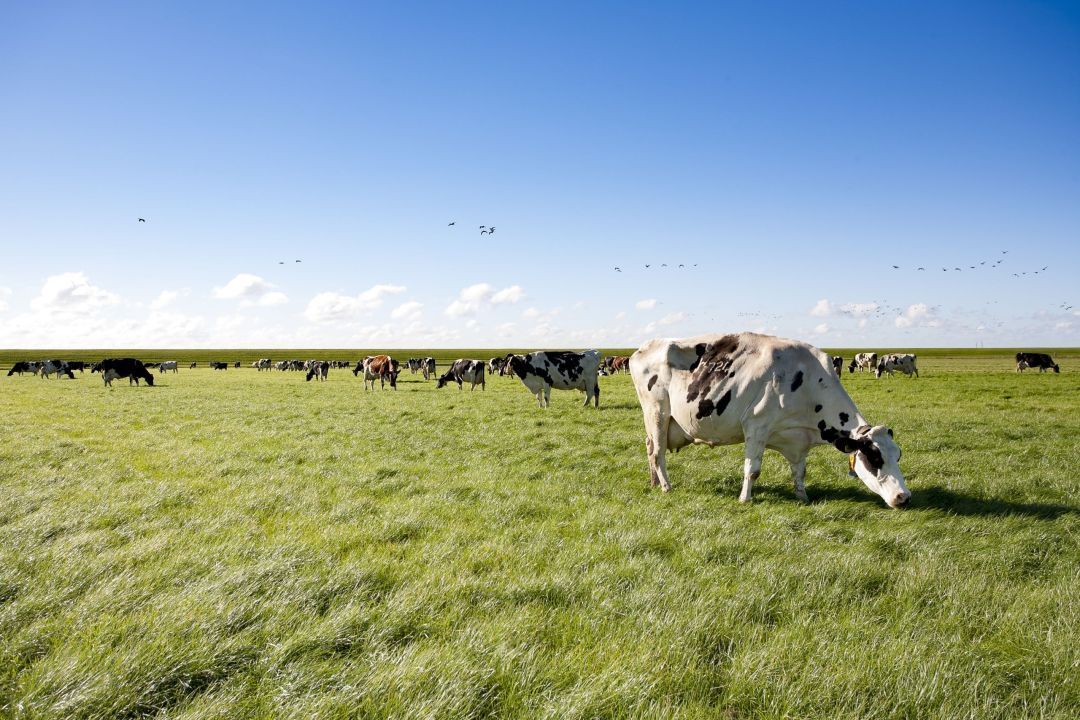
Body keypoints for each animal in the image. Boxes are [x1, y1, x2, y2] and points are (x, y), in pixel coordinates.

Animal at [630, 332, 907, 507]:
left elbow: (800, 471)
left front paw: (803, 497)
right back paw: (666, 486)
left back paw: (654, 483)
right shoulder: (756, 426)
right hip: (657, 412)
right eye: (874, 458)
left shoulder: (797, 438)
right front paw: (745, 499)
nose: (904, 496)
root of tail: (640, 350)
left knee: (650, 448)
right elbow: (752, 470)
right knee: (658, 453)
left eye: (898, 456)